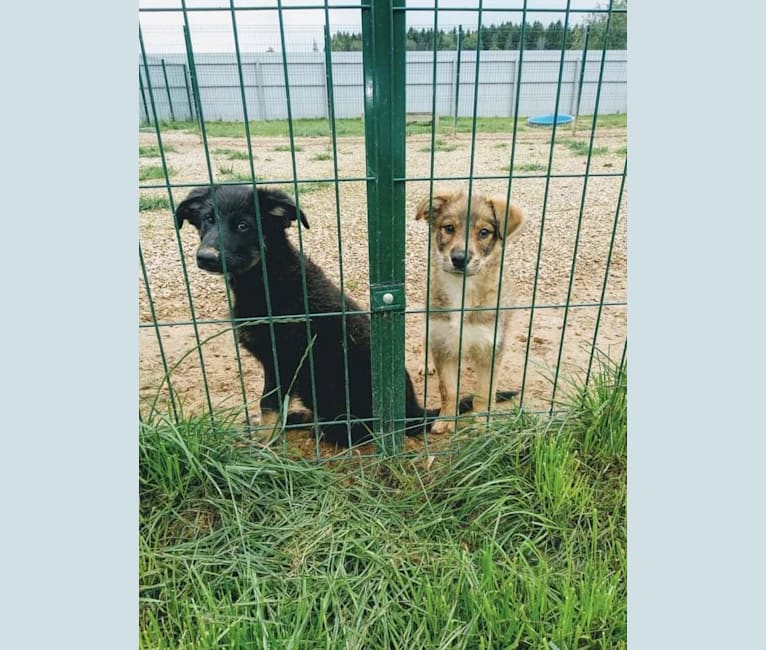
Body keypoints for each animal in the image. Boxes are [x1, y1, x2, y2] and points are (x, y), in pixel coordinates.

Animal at [177, 185, 512, 442]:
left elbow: (269, 403)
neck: (267, 280)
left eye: (243, 225)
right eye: (207, 220)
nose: (205, 257)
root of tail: (412, 412)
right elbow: (271, 406)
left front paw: (265, 442)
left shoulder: (283, 360)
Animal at [414, 186, 528, 430]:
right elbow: (448, 390)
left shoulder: (490, 348)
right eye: (449, 228)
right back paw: (425, 363)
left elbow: (484, 393)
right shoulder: (443, 342)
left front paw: (482, 423)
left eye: (484, 232)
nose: (459, 258)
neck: (462, 291)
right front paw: (446, 420)